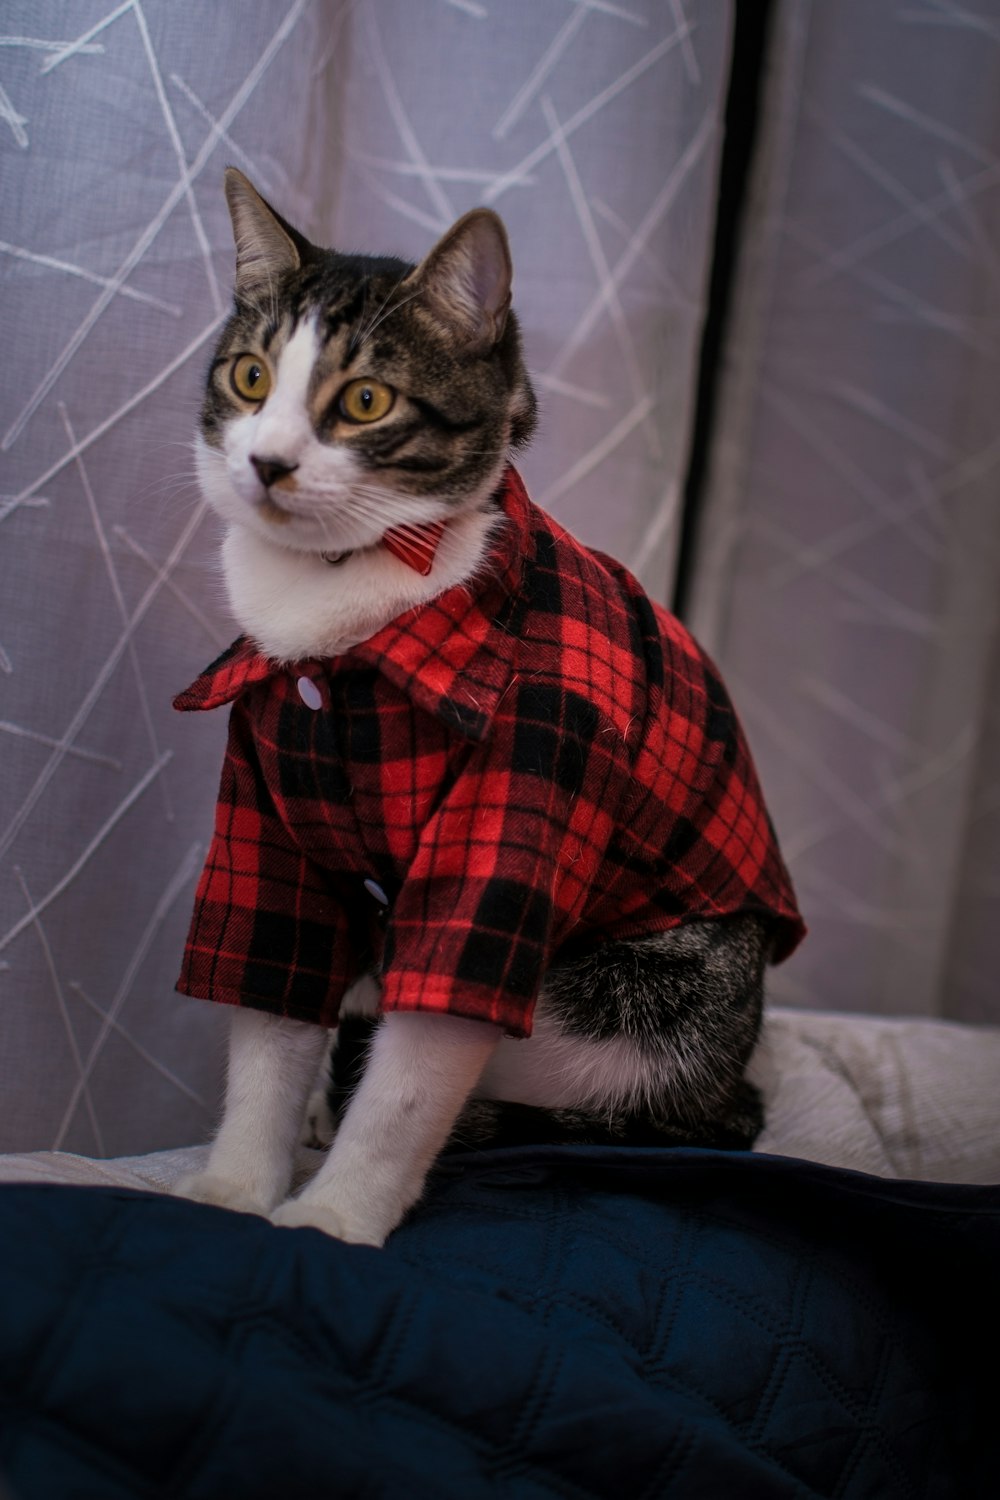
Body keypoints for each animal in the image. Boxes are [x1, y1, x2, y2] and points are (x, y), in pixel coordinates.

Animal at [167, 170, 803, 1248]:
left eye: (366, 400)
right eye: (250, 379)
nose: (267, 463)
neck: (333, 613)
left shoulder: (526, 791)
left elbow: (419, 1063)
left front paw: (334, 1214)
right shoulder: (267, 815)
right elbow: (268, 999)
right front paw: (235, 1190)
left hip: (637, 1000)